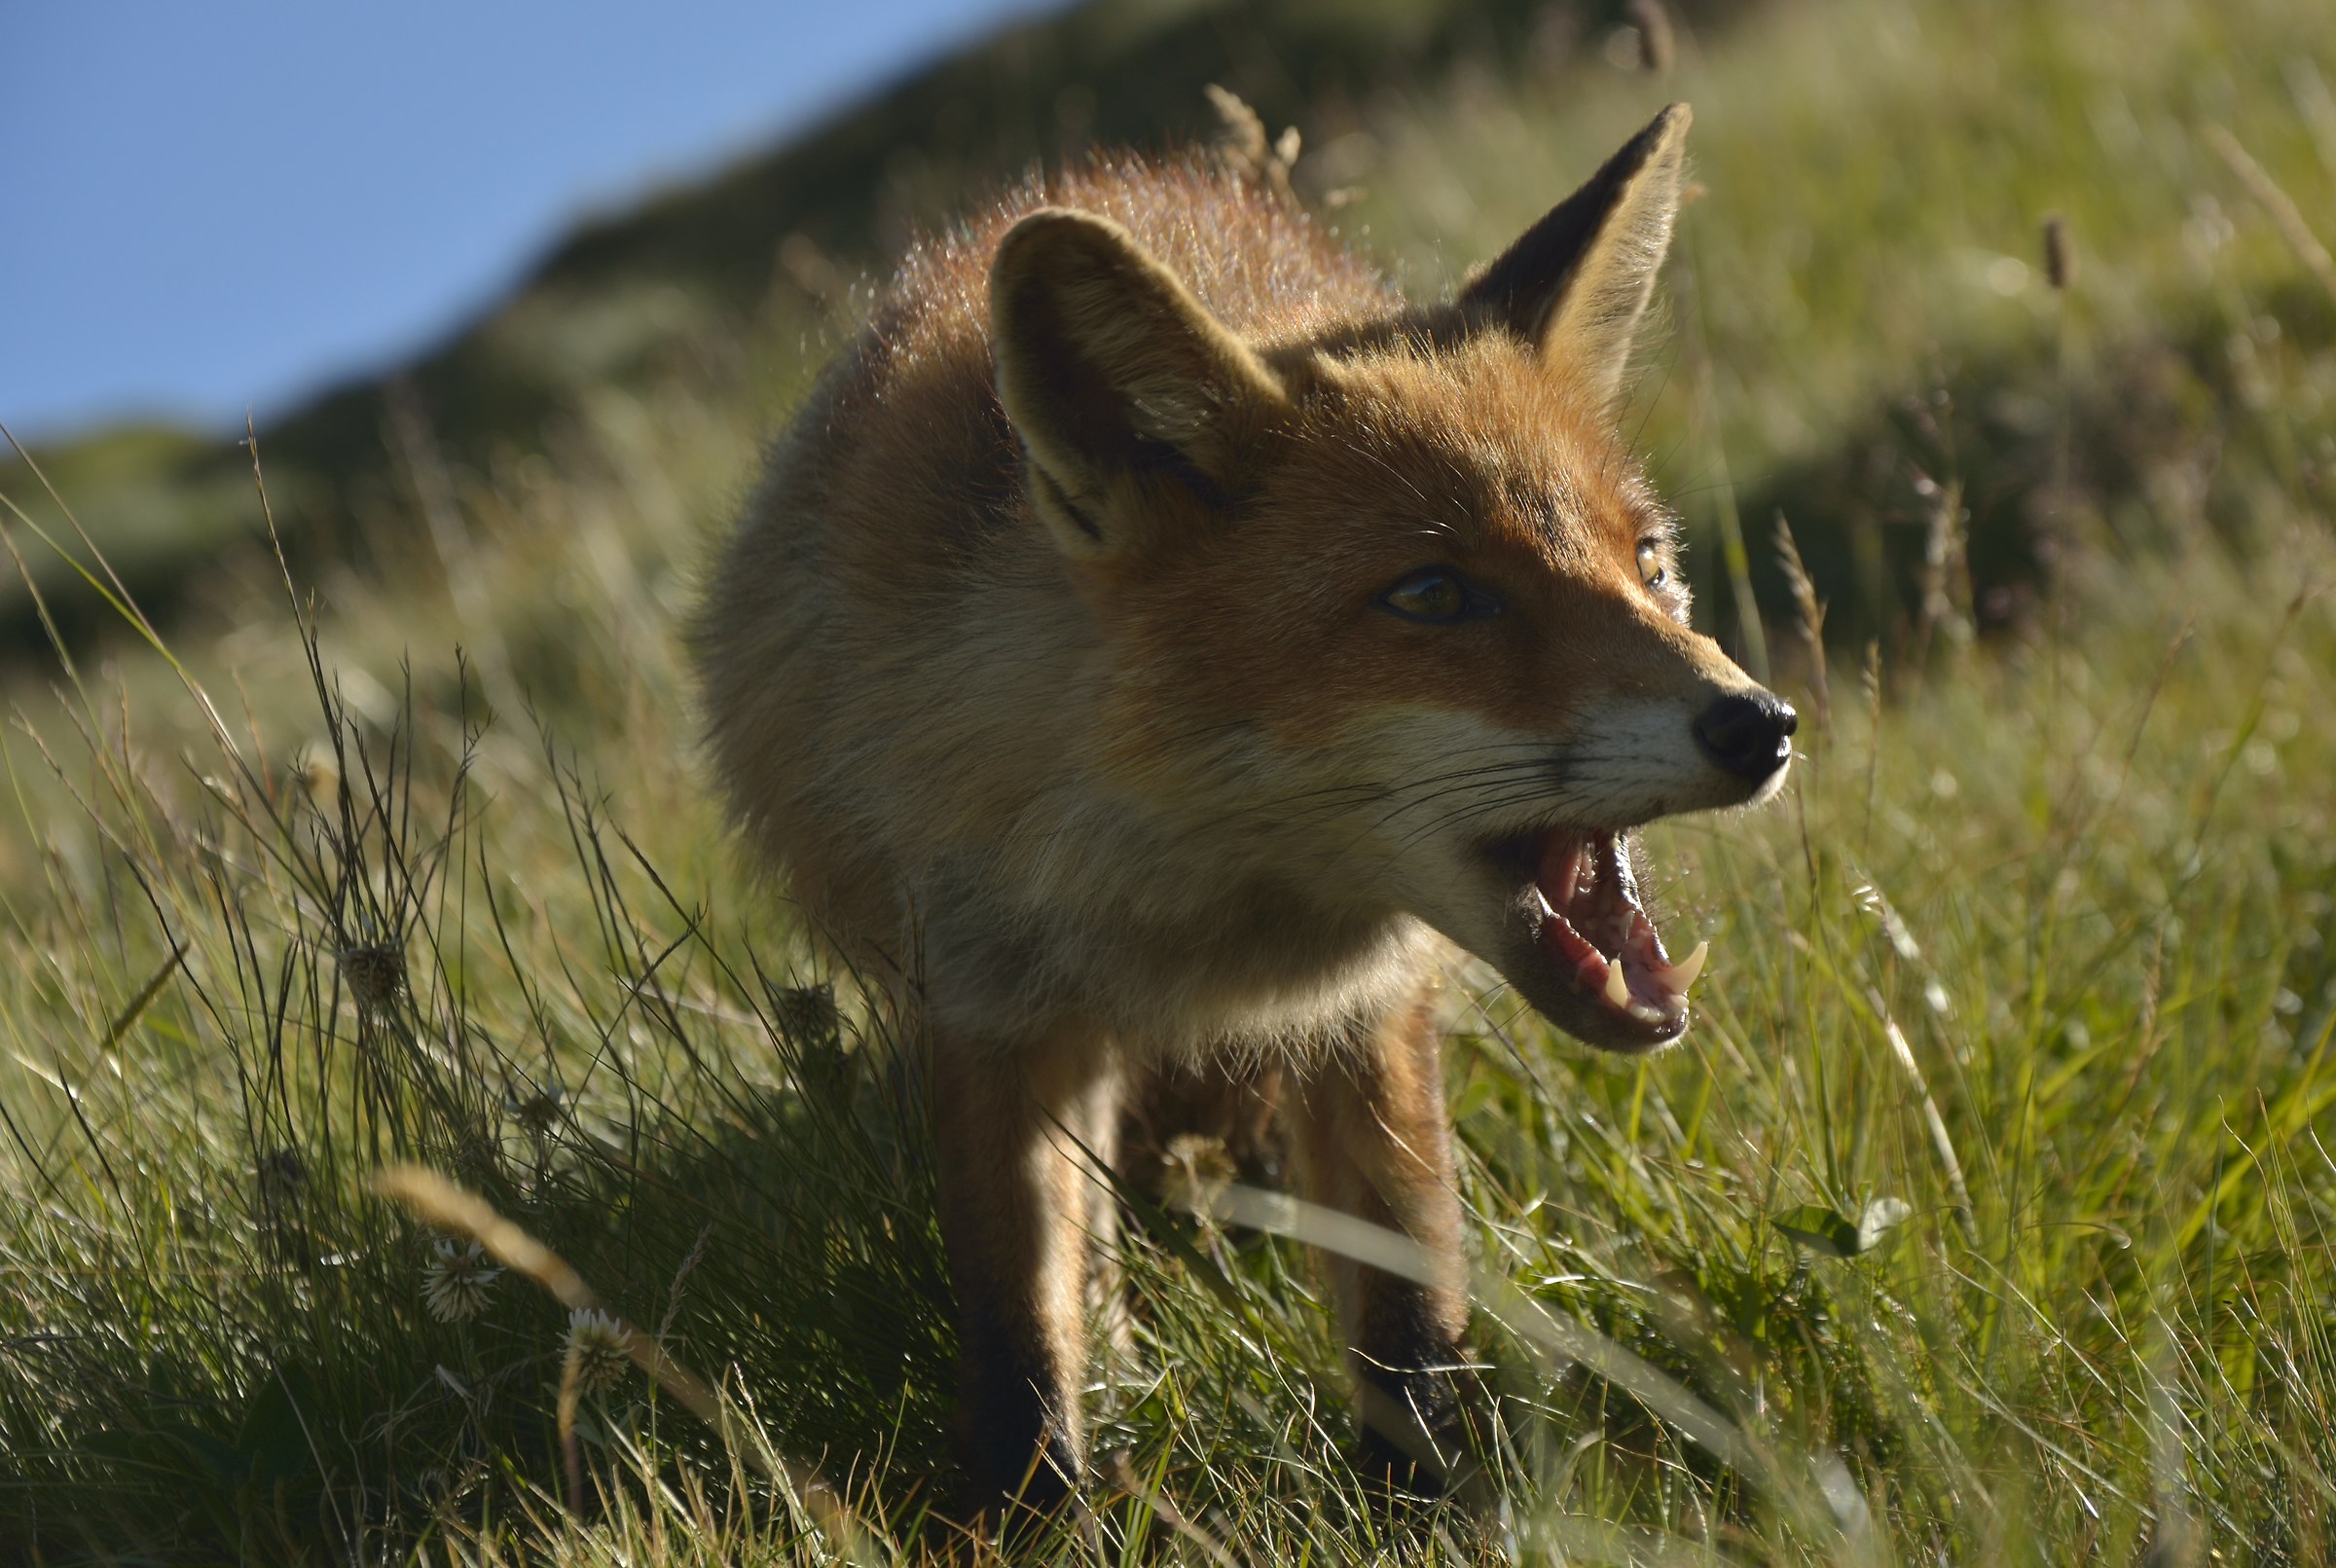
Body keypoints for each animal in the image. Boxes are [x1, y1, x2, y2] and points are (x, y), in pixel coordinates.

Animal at [692, 101, 1795, 1521]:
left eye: (1649, 563)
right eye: (1435, 594)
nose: (1759, 724)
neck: (1205, 906)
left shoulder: (1364, 1006)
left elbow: (1407, 1299)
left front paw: (1430, 1505)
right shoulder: (984, 1000)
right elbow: (1020, 1330)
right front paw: (1036, 1518)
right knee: (1096, 1242)